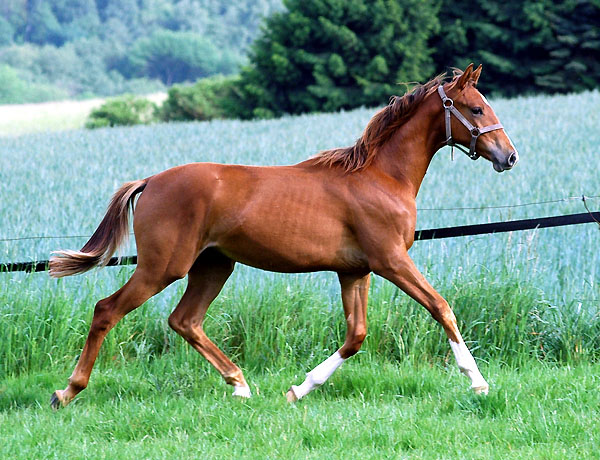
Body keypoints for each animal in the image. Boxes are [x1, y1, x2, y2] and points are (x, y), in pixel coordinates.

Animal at [49, 63, 516, 406]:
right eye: (475, 109)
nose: (509, 156)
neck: (381, 177)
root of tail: (150, 181)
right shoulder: (391, 262)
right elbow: (442, 308)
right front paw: (477, 381)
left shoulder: (355, 271)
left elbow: (356, 336)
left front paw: (298, 389)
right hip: (163, 267)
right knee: (107, 310)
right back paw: (67, 391)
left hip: (214, 266)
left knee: (185, 320)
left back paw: (239, 384)